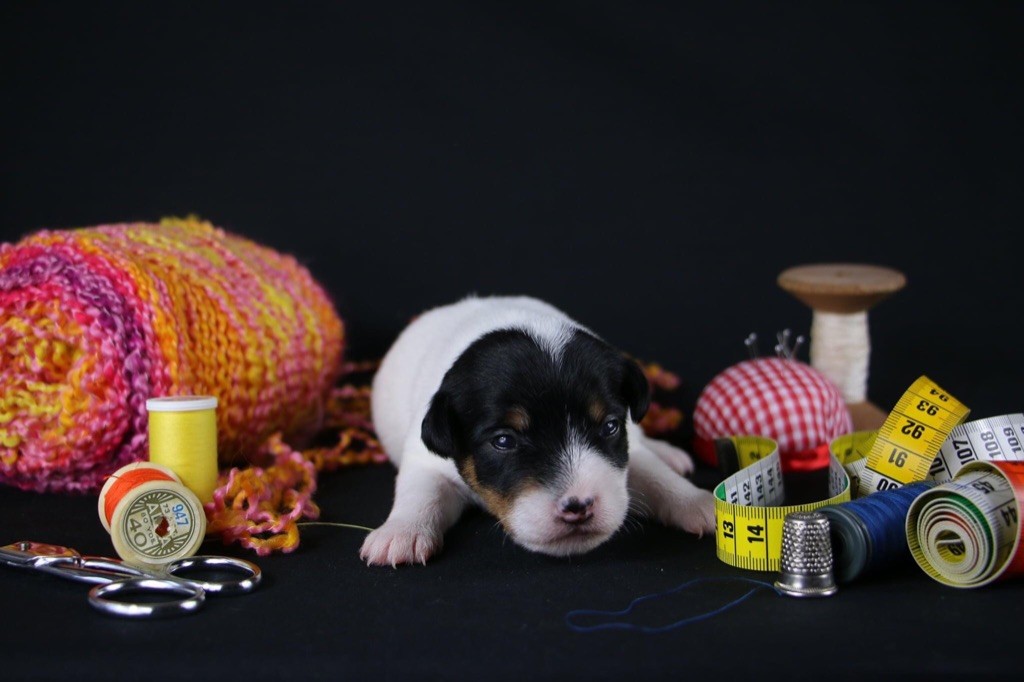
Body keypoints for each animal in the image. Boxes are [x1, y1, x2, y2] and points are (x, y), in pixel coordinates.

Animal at [360, 296, 716, 566]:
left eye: (610, 426)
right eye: (504, 440)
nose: (578, 507)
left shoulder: (627, 448)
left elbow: (654, 474)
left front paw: (695, 501)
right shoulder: (426, 460)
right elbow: (419, 493)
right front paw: (401, 532)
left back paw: (669, 454)